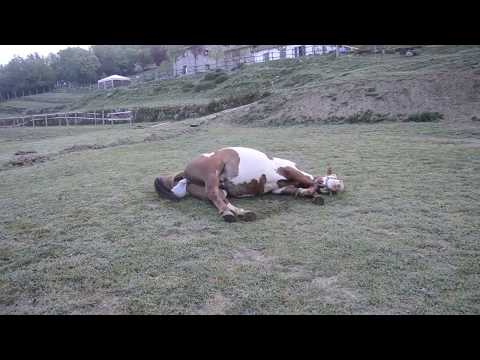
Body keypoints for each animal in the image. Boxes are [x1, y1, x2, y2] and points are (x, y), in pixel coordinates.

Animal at [155, 147, 344, 222]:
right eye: (334, 175)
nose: (339, 186)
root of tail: (185, 173)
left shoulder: (281, 189)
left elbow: (297, 189)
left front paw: (307, 193)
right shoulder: (289, 170)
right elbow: (311, 182)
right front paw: (313, 192)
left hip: (214, 188)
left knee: (219, 196)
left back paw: (241, 212)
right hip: (213, 171)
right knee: (213, 193)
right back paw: (228, 214)